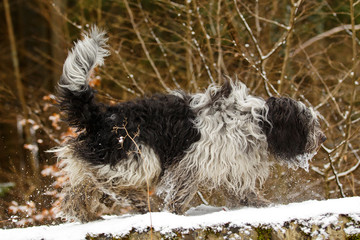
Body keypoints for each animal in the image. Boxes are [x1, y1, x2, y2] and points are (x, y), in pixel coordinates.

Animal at [53, 27, 326, 222]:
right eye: (308, 121)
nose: (322, 138)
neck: (256, 121)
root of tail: (99, 115)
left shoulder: (229, 164)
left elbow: (241, 190)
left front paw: (260, 204)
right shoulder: (195, 161)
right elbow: (183, 191)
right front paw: (175, 211)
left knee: (77, 191)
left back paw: (82, 214)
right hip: (137, 156)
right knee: (110, 182)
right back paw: (138, 201)